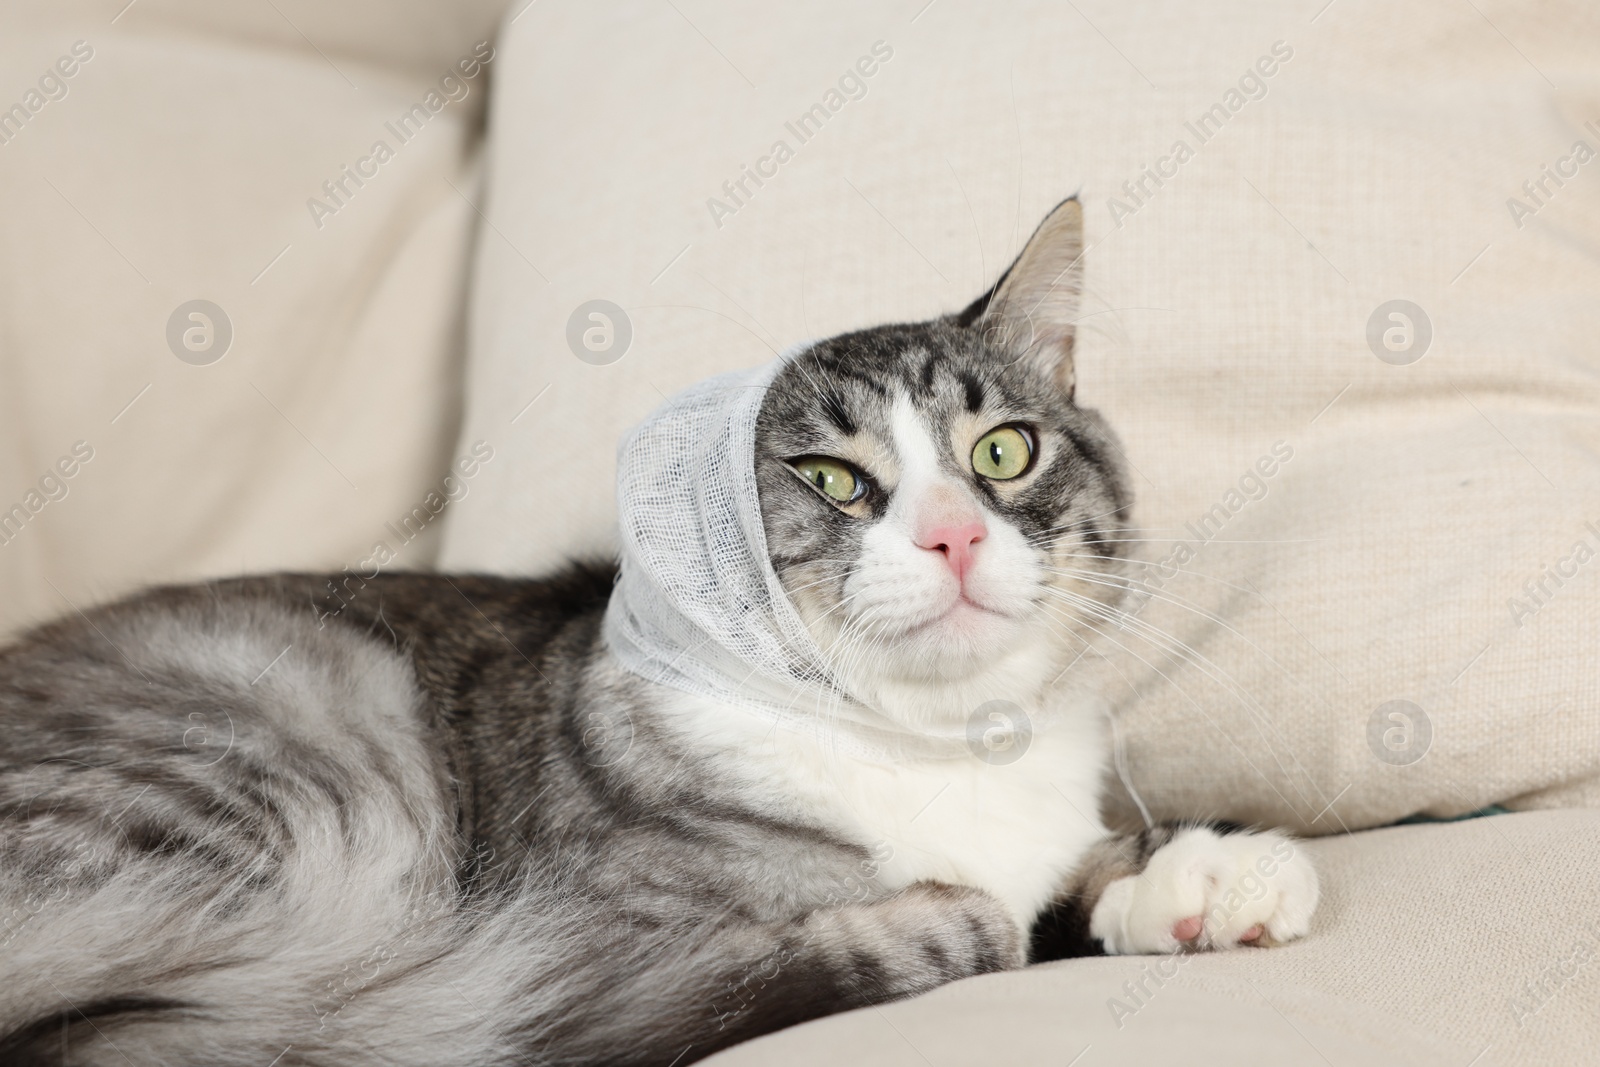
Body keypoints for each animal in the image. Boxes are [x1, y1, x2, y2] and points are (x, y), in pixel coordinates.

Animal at [0, 199, 1312, 1067]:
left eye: (1000, 451)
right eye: (832, 480)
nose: (951, 535)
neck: (930, 742)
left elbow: (1076, 868)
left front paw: (1207, 870)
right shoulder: (576, 928)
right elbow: (922, 929)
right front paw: (970, 907)